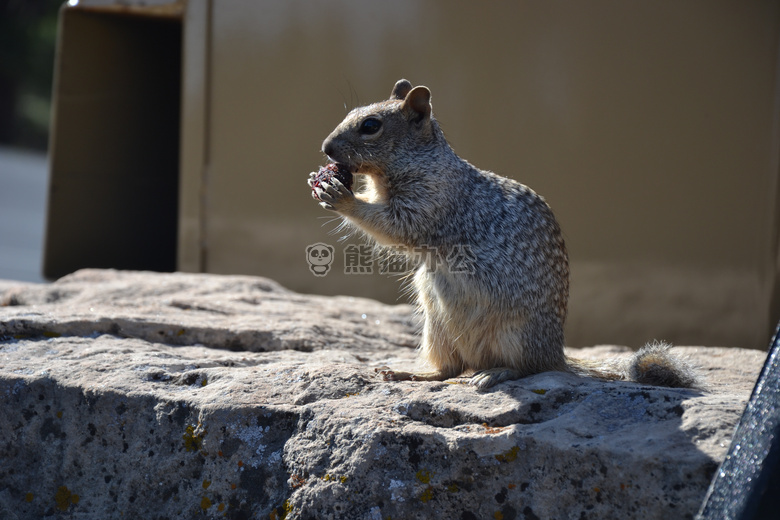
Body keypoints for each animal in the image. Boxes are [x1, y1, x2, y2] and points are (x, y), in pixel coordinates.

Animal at [310, 79, 700, 390]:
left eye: (370, 125)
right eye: (354, 112)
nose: (325, 148)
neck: (420, 161)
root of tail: (556, 353)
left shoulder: (430, 201)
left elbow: (396, 225)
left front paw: (342, 196)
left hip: (513, 333)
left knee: (526, 369)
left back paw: (494, 374)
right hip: (435, 327)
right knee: (449, 368)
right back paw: (411, 373)